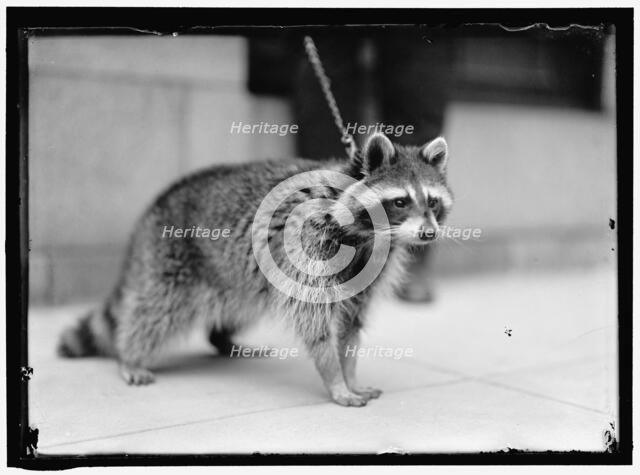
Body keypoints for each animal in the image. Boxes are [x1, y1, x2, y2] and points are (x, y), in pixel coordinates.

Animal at [58, 133, 452, 407]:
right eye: (400, 201)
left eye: (432, 202)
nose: (428, 233)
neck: (366, 235)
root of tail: (157, 203)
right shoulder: (310, 246)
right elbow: (316, 324)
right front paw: (335, 377)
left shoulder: (369, 270)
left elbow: (351, 325)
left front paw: (349, 372)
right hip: (170, 257)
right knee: (156, 309)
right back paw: (131, 354)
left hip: (237, 280)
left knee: (241, 305)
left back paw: (222, 338)